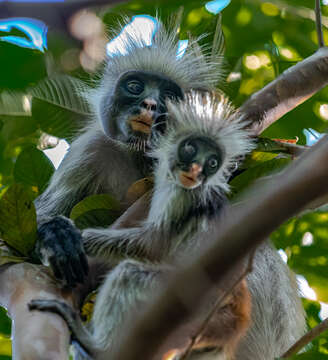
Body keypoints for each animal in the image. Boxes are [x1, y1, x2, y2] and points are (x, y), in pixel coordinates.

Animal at [33, 16, 224, 286]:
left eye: (167, 95)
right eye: (135, 87)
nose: (150, 104)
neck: (140, 156)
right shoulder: (90, 150)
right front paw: (56, 233)